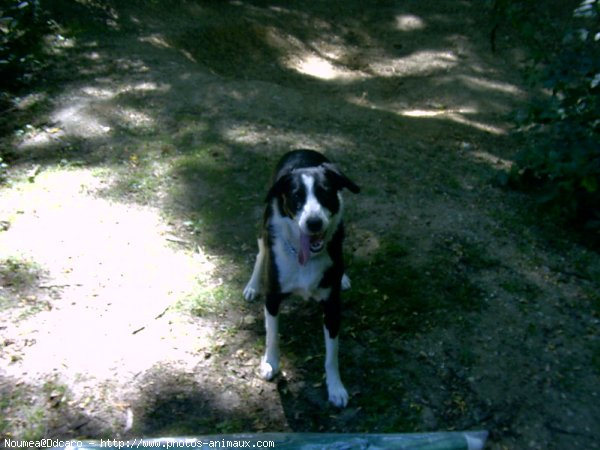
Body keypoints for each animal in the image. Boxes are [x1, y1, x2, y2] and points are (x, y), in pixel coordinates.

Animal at [243, 149, 358, 408]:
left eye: (325, 191)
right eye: (296, 196)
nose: (314, 223)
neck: (305, 257)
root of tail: (302, 150)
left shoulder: (332, 306)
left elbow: (332, 354)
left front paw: (335, 387)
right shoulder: (273, 298)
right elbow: (272, 336)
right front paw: (271, 364)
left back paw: (344, 277)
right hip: (264, 229)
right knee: (260, 253)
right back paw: (252, 286)